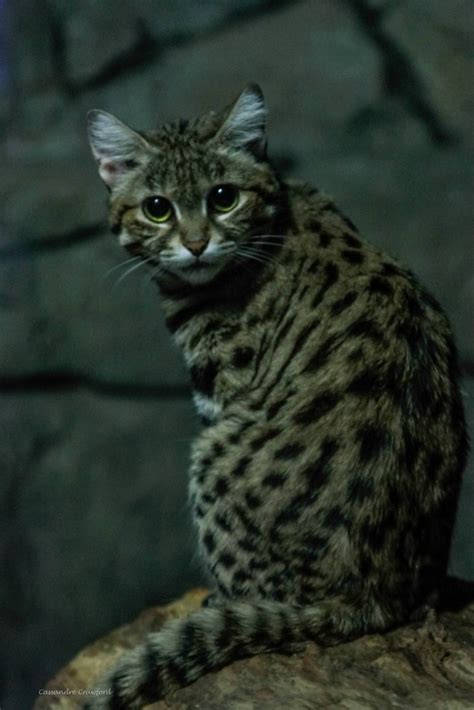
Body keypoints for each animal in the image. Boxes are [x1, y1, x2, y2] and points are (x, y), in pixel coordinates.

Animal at [86, 85, 466, 710]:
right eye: (157, 208)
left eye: (223, 196)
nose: (196, 245)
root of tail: (370, 600)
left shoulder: (224, 393)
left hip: (211, 454)